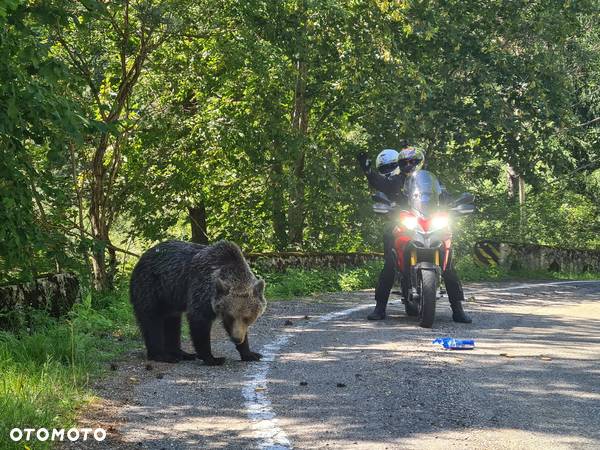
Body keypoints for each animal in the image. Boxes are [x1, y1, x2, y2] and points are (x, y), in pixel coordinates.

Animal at [130, 241, 266, 364]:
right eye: (230, 316)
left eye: (247, 318)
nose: (237, 338)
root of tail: (142, 258)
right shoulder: (201, 290)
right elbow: (199, 322)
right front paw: (212, 358)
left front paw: (250, 353)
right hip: (151, 288)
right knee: (152, 321)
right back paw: (163, 356)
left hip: (170, 298)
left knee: (172, 323)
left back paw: (182, 353)